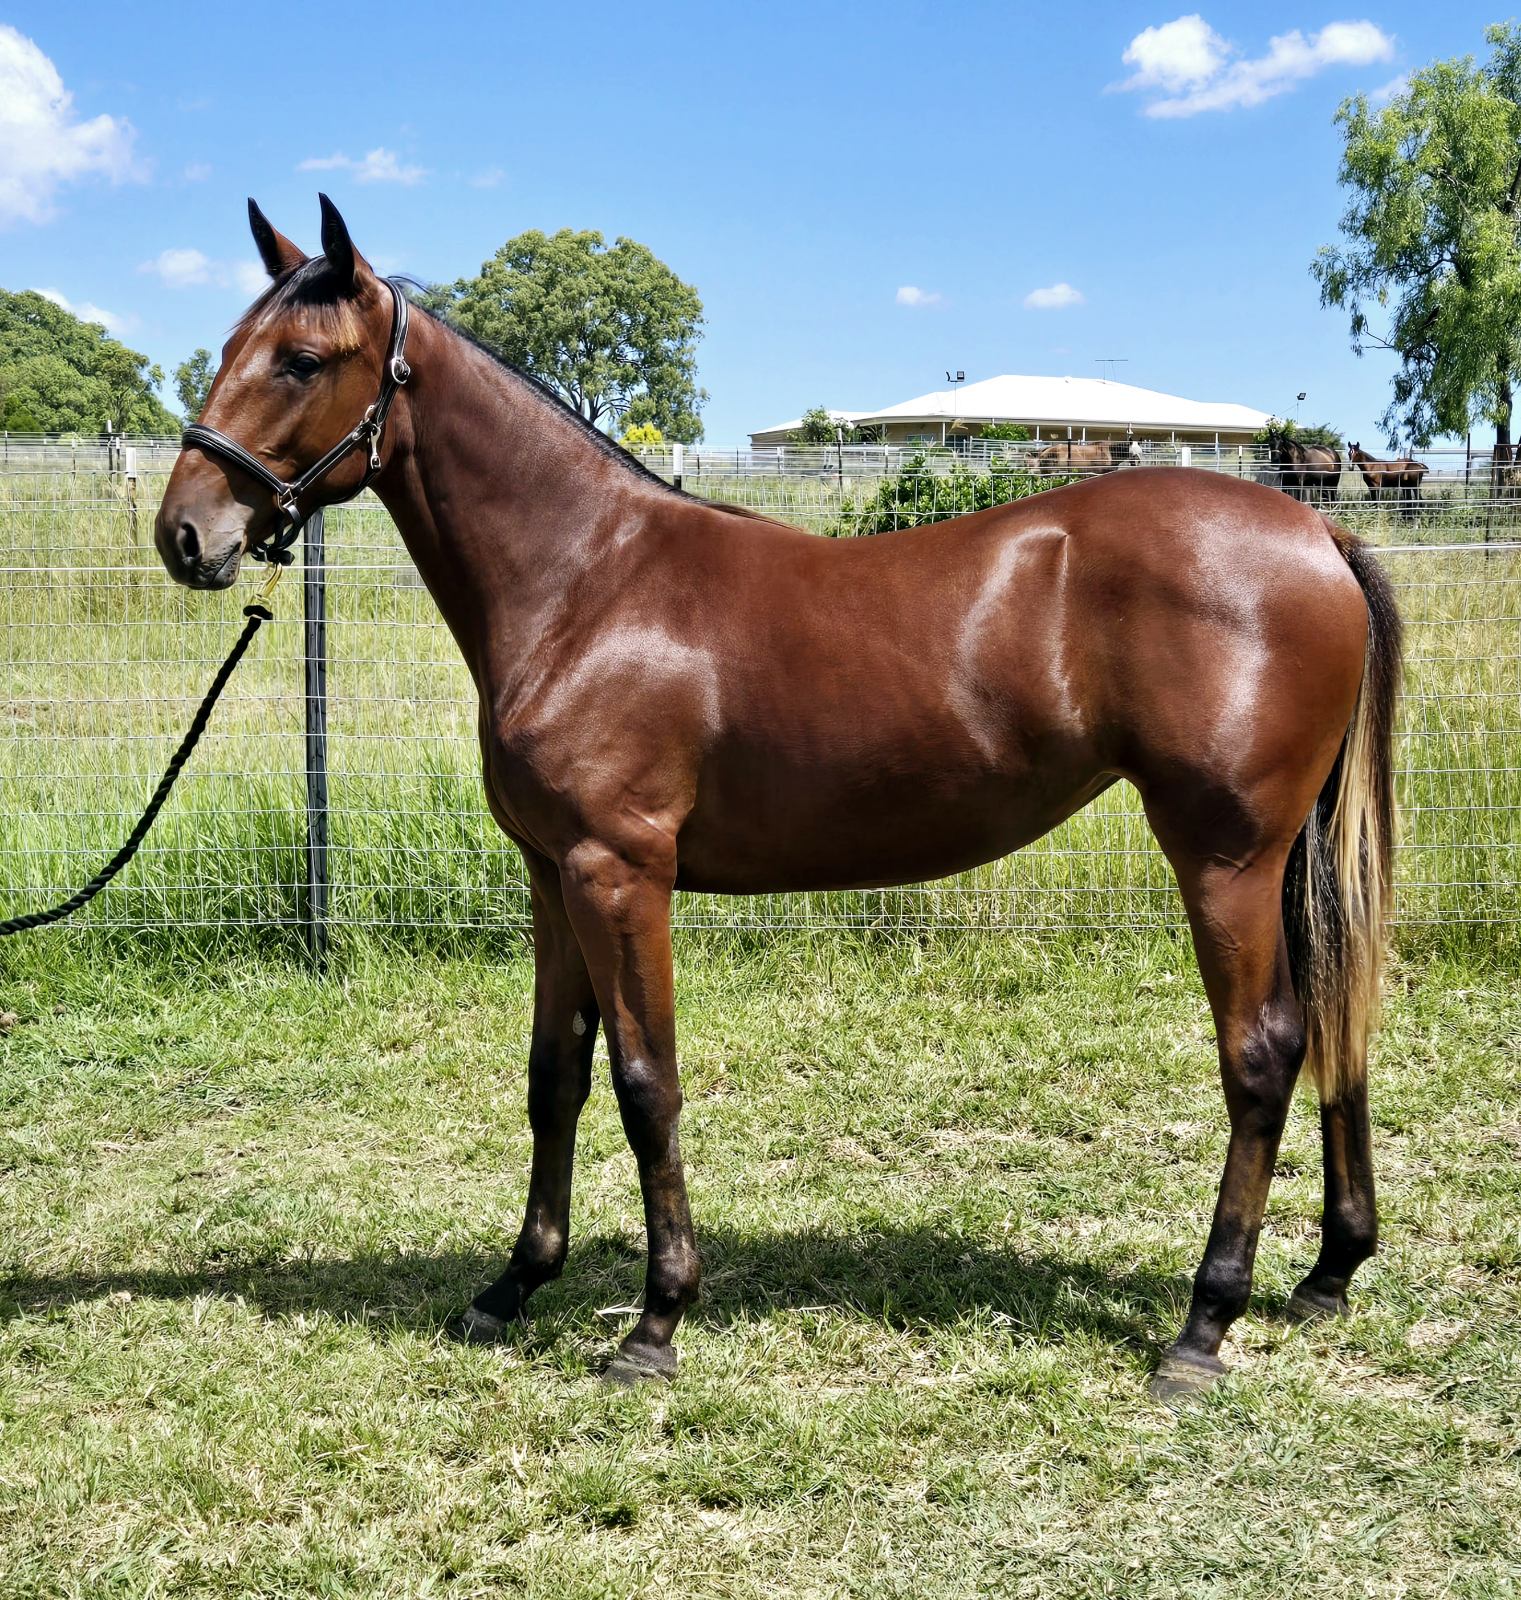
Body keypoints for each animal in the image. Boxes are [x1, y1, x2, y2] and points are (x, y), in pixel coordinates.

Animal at [155, 198, 1402, 1402]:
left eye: (302, 360)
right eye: (223, 349)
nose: (185, 535)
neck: (586, 581)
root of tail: (1316, 530)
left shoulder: (621, 874)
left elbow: (644, 1082)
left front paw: (656, 1321)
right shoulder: (552, 877)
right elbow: (555, 1078)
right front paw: (512, 1287)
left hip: (1222, 857)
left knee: (1262, 1052)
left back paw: (1203, 1326)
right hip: (1284, 859)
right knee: (1335, 1023)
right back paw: (1327, 1271)